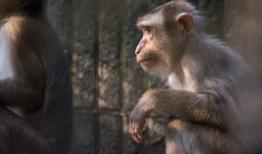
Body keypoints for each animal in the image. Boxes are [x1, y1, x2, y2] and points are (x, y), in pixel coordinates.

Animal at [128, 0, 262, 153]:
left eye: (149, 30)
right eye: (145, 30)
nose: (137, 50)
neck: (183, 51)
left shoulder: (196, 62)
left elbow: (226, 110)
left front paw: (148, 100)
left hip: (232, 149)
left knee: (180, 123)